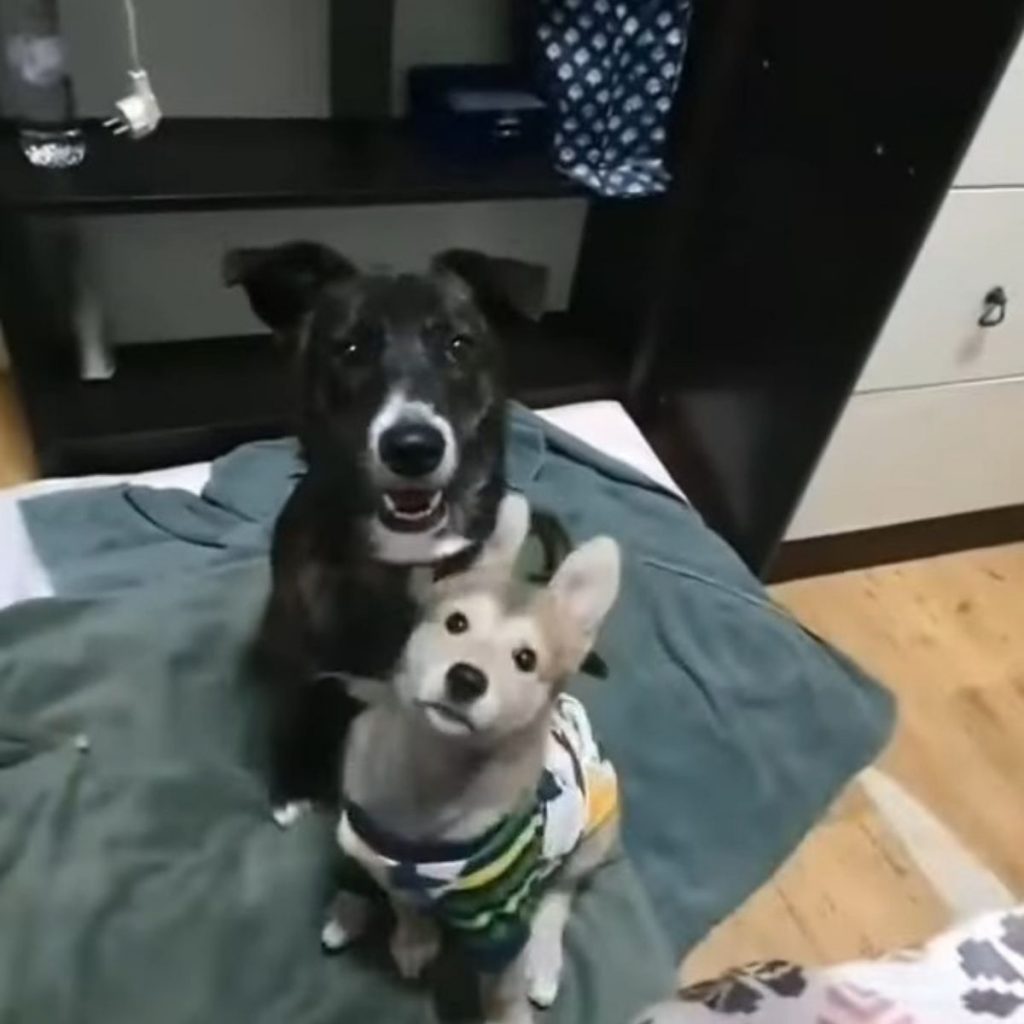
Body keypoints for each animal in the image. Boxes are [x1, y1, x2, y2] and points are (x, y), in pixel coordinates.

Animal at [226, 243, 509, 811]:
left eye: (459, 345)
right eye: (351, 347)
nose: (413, 448)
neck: (403, 557)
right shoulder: (301, 665)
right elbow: (295, 712)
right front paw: (293, 783)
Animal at [323, 491, 618, 1019]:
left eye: (526, 659)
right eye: (456, 622)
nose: (466, 679)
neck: (433, 779)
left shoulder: (497, 920)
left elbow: (502, 987)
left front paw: (508, 1009)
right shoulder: (385, 864)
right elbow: (405, 902)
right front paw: (415, 938)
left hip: (595, 832)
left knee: (559, 896)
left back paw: (544, 961)